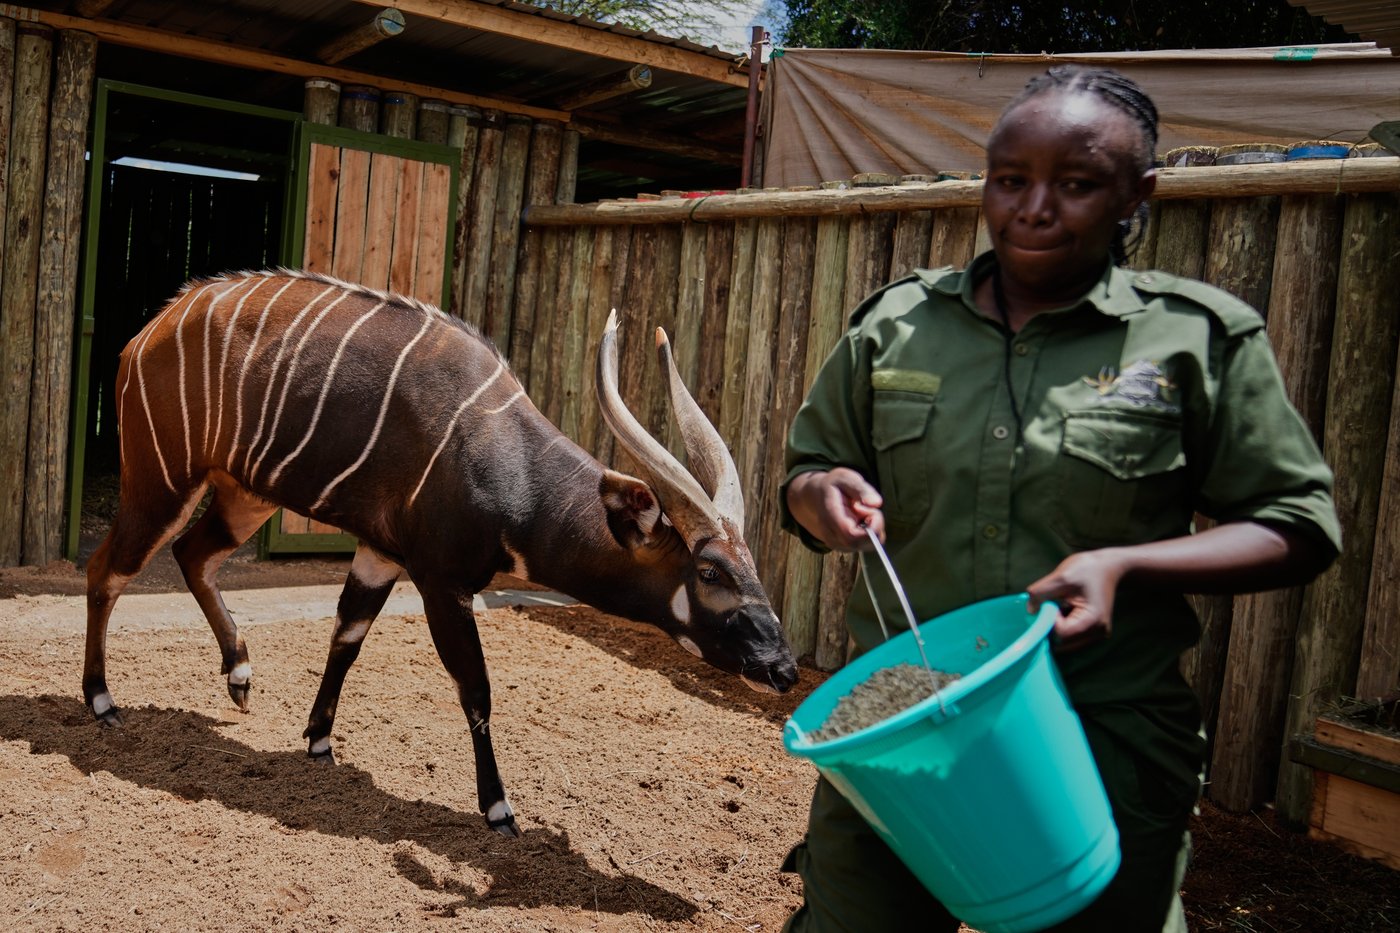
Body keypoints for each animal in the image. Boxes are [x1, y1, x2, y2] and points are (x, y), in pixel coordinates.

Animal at [83, 269, 797, 836]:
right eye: (708, 570)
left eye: (753, 567)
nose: (784, 668)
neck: (504, 462)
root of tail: (148, 331)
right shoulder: (440, 581)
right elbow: (475, 687)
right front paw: (499, 809)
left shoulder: (380, 554)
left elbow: (347, 638)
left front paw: (318, 741)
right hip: (162, 479)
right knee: (108, 568)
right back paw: (100, 700)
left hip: (243, 493)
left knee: (194, 555)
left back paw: (239, 676)